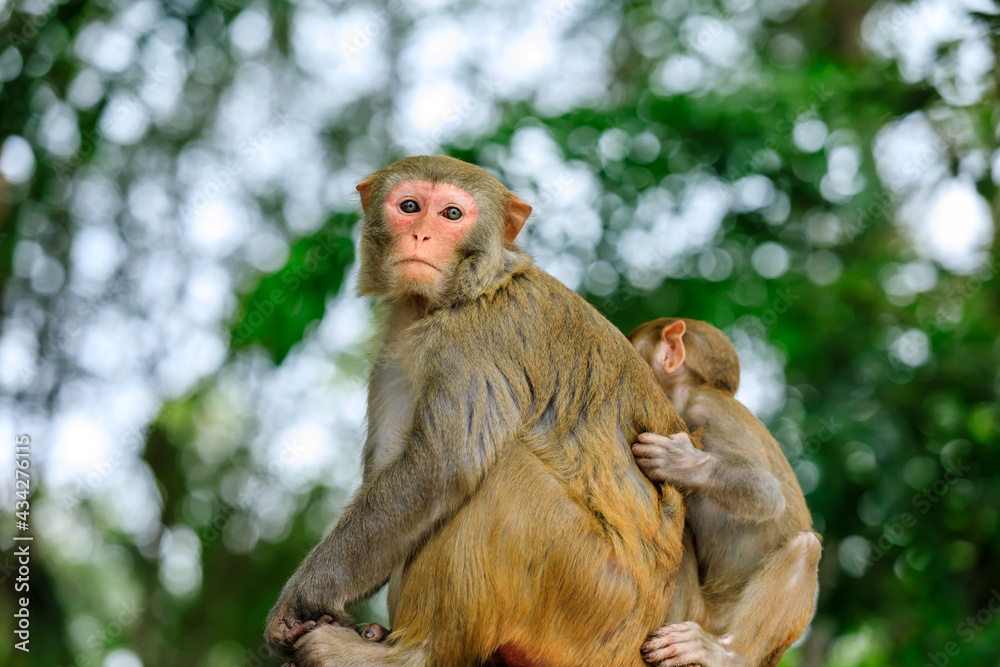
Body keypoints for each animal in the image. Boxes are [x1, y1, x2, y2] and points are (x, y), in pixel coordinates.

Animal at [262, 155, 692, 667]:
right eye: (409, 206)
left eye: (451, 214)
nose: (421, 236)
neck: (459, 294)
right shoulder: (395, 346)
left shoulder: (473, 341)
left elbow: (438, 469)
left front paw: (304, 599)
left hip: (590, 595)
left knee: (500, 474)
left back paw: (411, 653)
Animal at [628, 318, 824, 667]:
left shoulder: (706, 407)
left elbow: (766, 494)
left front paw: (682, 463)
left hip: (719, 621)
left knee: (805, 547)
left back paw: (727, 654)